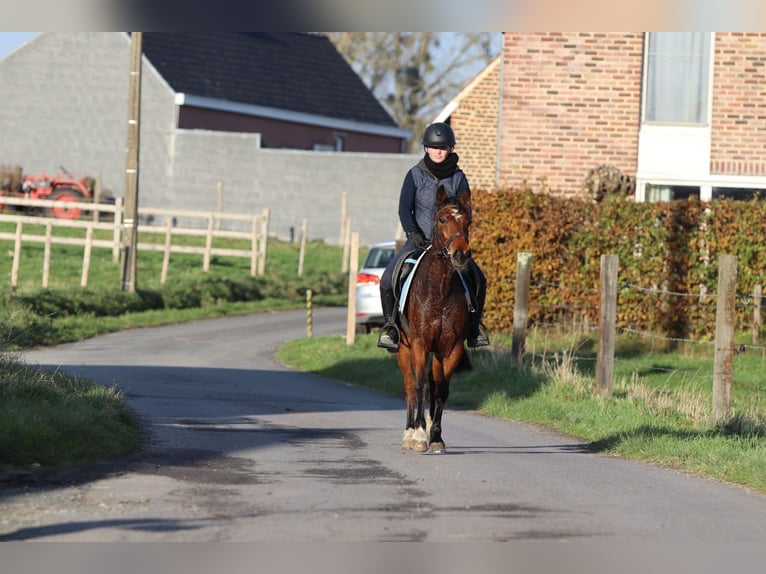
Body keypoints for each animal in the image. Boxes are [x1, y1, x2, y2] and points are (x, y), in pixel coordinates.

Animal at [396, 185, 474, 454]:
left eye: (469, 221)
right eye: (442, 219)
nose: (461, 254)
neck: (439, 290)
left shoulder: (451, 348)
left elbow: (441, 391)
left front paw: (436, 437)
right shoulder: (419, 344)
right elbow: (420, 386)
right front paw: (419, 435)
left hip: (437, 353)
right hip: (404, 348)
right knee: (410, 386)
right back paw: (409, 433)